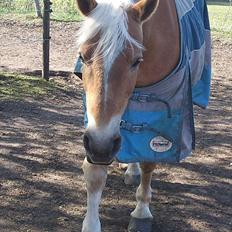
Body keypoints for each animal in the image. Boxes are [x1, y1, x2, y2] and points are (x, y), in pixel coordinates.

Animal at [75, 0, 211, 232]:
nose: (102, 147)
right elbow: (95, 173)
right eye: (83, 56)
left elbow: (149, 160)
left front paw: (141, 212)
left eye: (136, 60)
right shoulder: (95, 130)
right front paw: (91, 224)